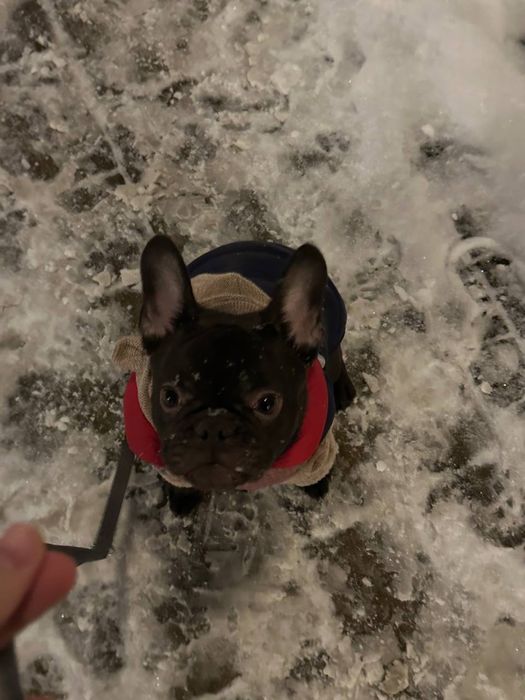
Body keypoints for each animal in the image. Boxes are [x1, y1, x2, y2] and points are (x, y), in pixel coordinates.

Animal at [123, 235, 355, 515]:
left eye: (267, 403)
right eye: (169, 397)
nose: (213, 427)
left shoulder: (316, 452)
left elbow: (317, 470)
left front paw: (317, 484)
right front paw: (182, 495)